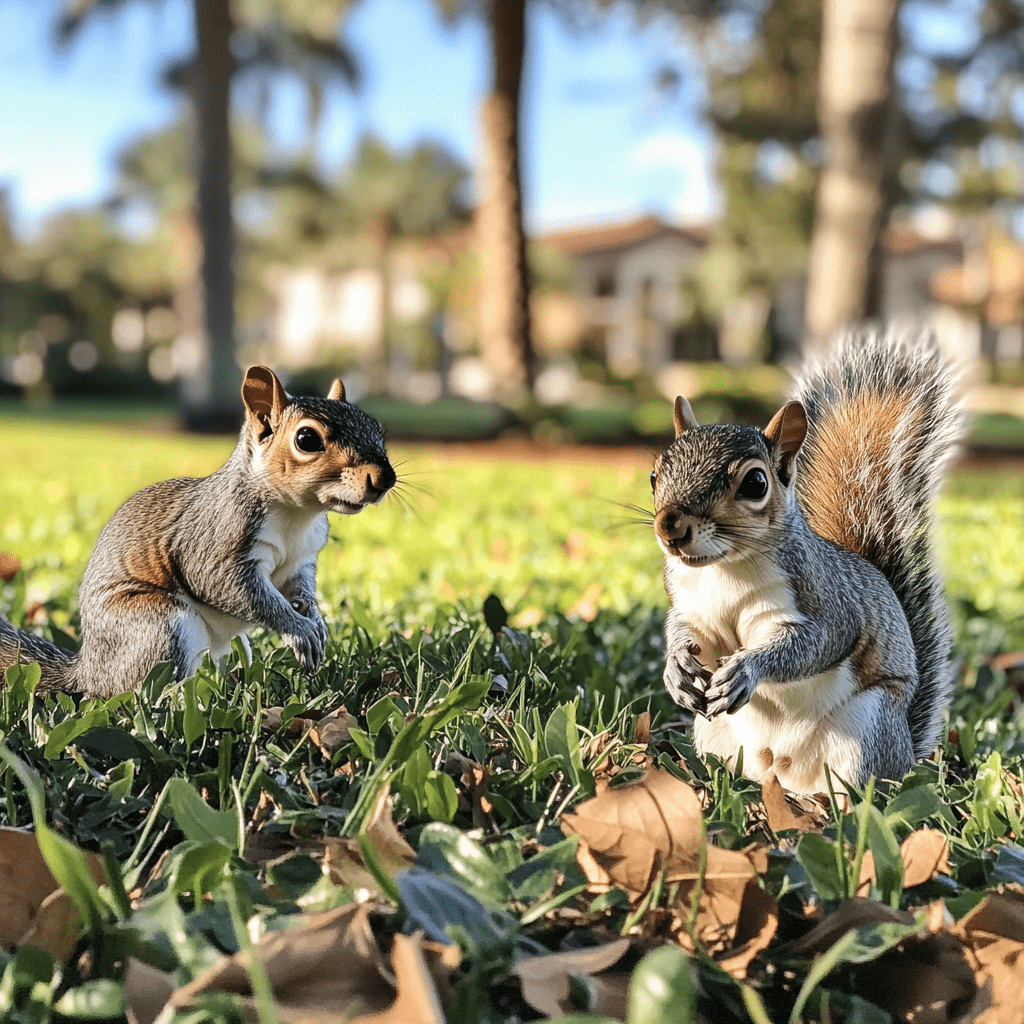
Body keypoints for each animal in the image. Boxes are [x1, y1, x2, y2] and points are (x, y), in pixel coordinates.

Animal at [0, 364, 395, 700]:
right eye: (307, 439)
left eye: (377, 428)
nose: (385, 479)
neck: (297, 516)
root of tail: (89, 671)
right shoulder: (212, 543)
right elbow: (232, 589)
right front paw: (297, 629)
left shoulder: (303, 559)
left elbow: (301, 590)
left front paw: (314, 619)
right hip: (158, 625)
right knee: (139, 692)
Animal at [651, 327, 962, 790]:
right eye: (655, 474)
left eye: (755, 483)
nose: (670, 527)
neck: (723, 569)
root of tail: (783, 772)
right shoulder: (692, 607)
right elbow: (684, 630)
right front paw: (676, 668)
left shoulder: (827, 603)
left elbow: (816, 644)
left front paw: (748, 668)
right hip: (715, 731)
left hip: (867, 727)